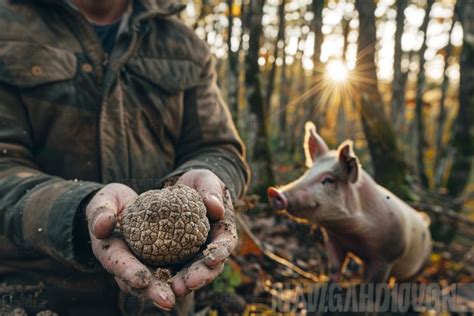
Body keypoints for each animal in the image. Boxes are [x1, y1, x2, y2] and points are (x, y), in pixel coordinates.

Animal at [268, 122, 432, 282]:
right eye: (307, 173)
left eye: (329, 180)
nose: (274, 192)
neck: (351, 234)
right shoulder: (334, 240)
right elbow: (335, 269)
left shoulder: (387, 256)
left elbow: (374, 282)